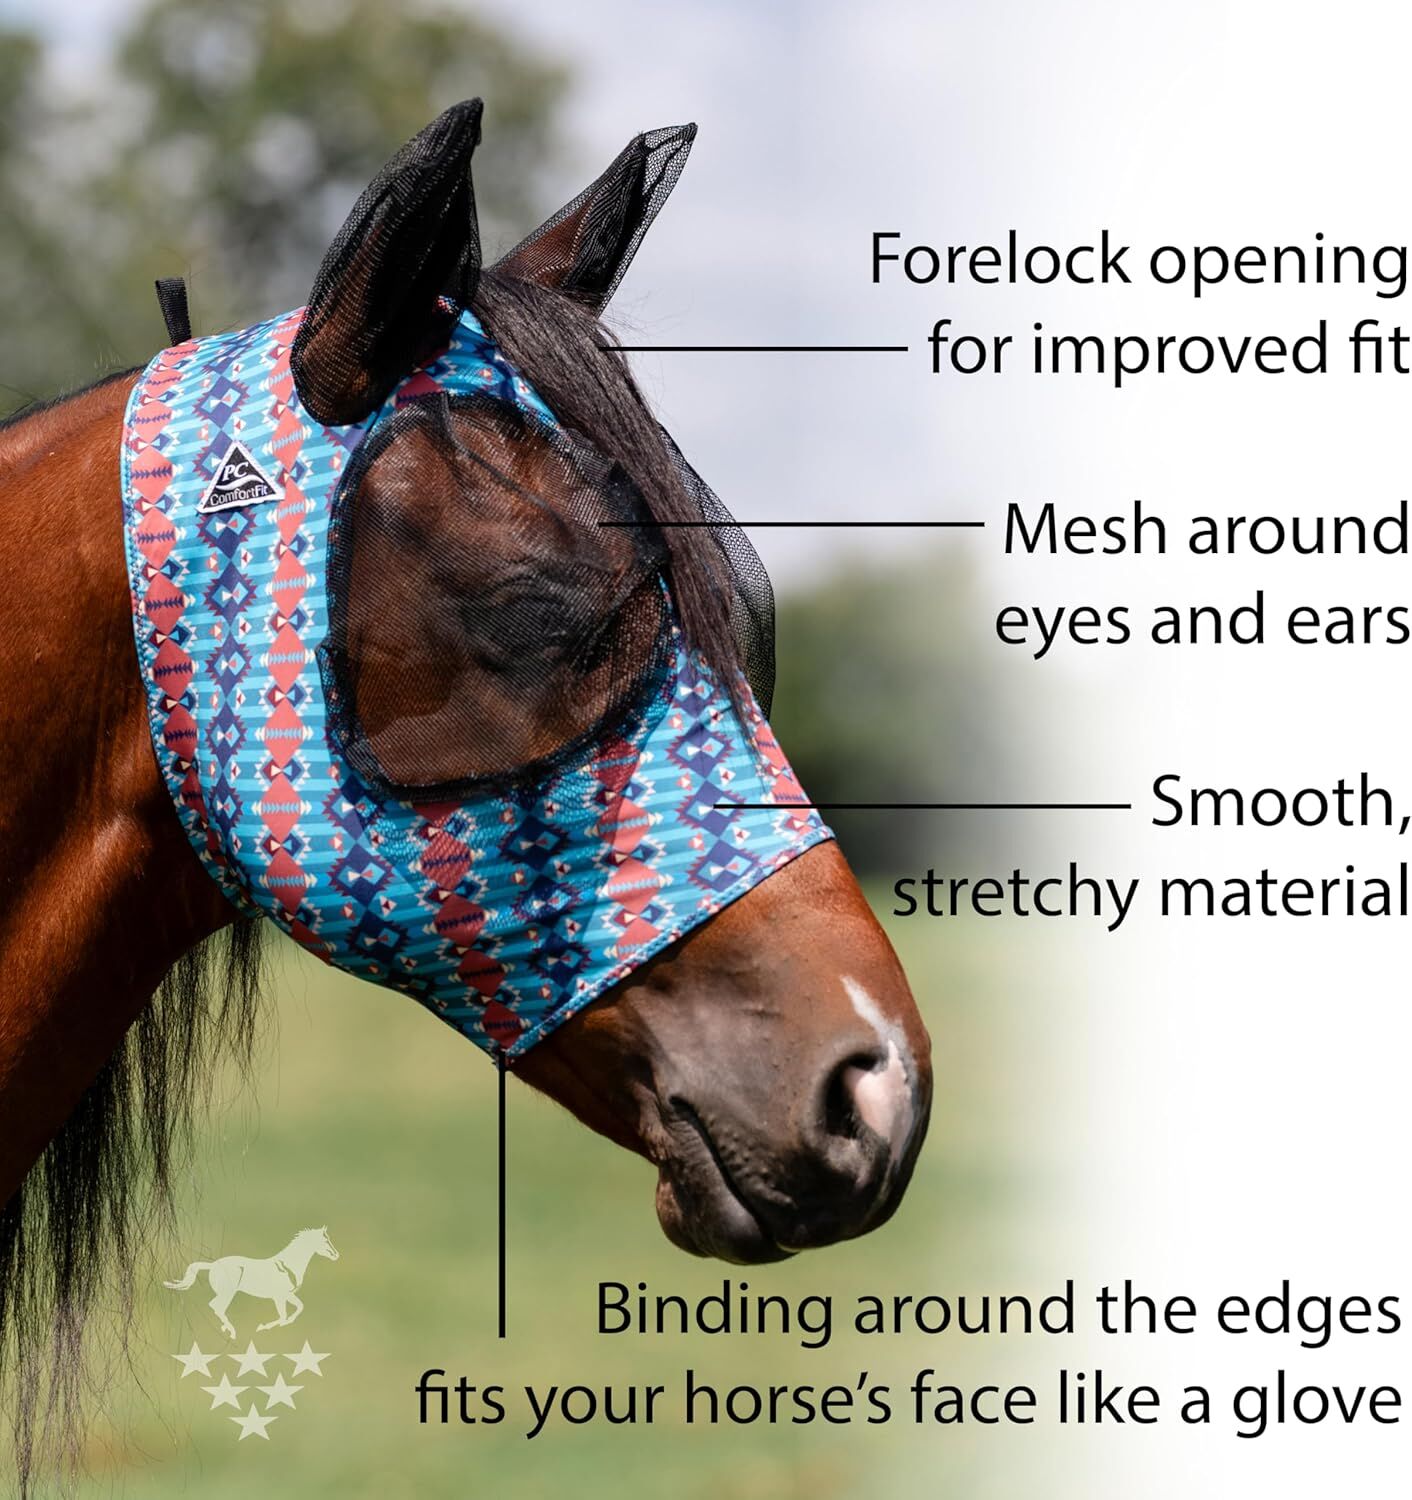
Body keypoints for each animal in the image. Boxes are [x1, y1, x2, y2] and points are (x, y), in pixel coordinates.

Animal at [164, 1227, 340, 1338]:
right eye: (325, 1241)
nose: (336, 1255)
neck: (289, 1265)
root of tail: (213, 1265)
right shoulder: (279, 1296)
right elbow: (284, 1315)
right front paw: (263, 1327)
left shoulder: (287, 1295)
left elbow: (298, 1308)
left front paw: (283, 1323)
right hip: (228, 1293)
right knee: (216, 1306)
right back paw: (231, 1331)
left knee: (217, 1307)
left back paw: (226, 1327)